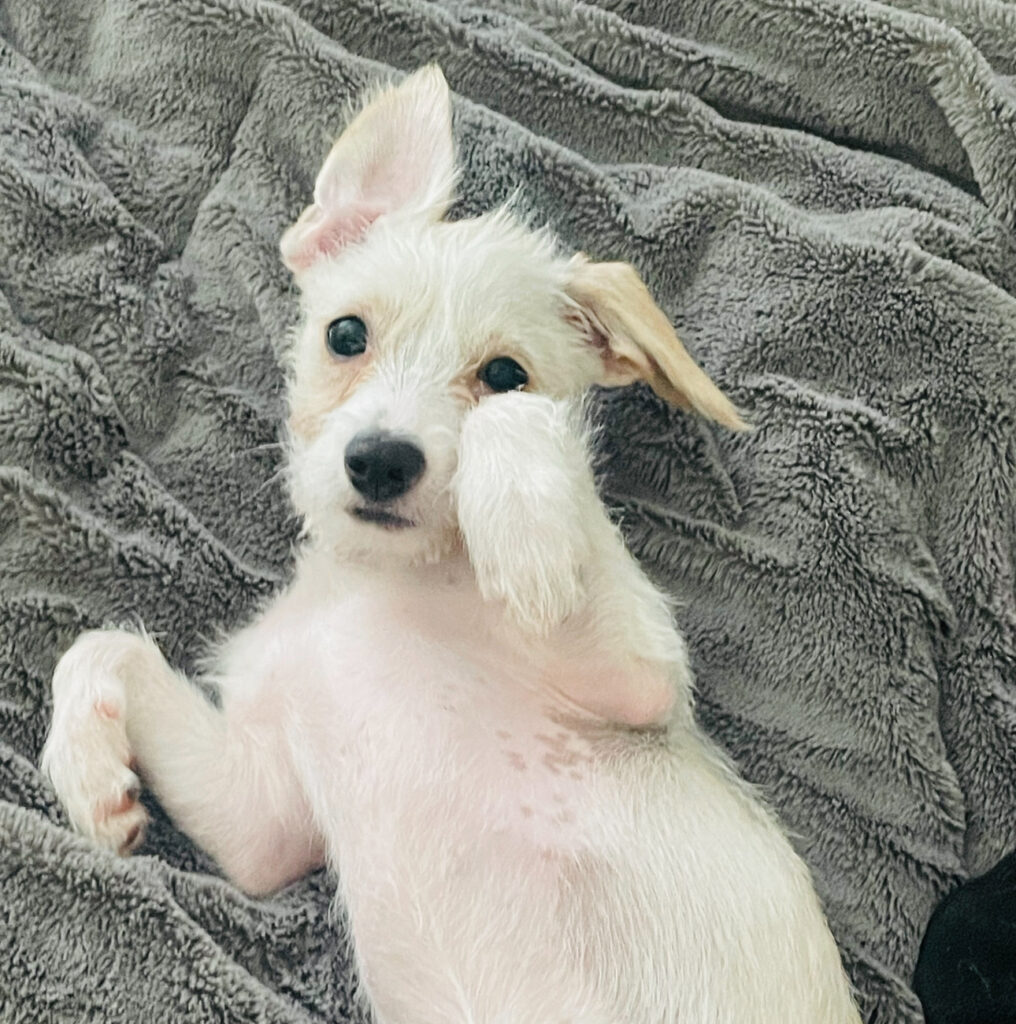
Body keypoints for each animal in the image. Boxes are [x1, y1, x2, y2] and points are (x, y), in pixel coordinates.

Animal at [43, 68, 860, 1019]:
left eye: (506, 372)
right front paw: (85, 768)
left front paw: (525, 535)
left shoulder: (640, 678)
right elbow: (101, 644)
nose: (381, 460)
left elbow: (526, 440)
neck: (380, 582)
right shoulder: (263, 825)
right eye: (345, 334)